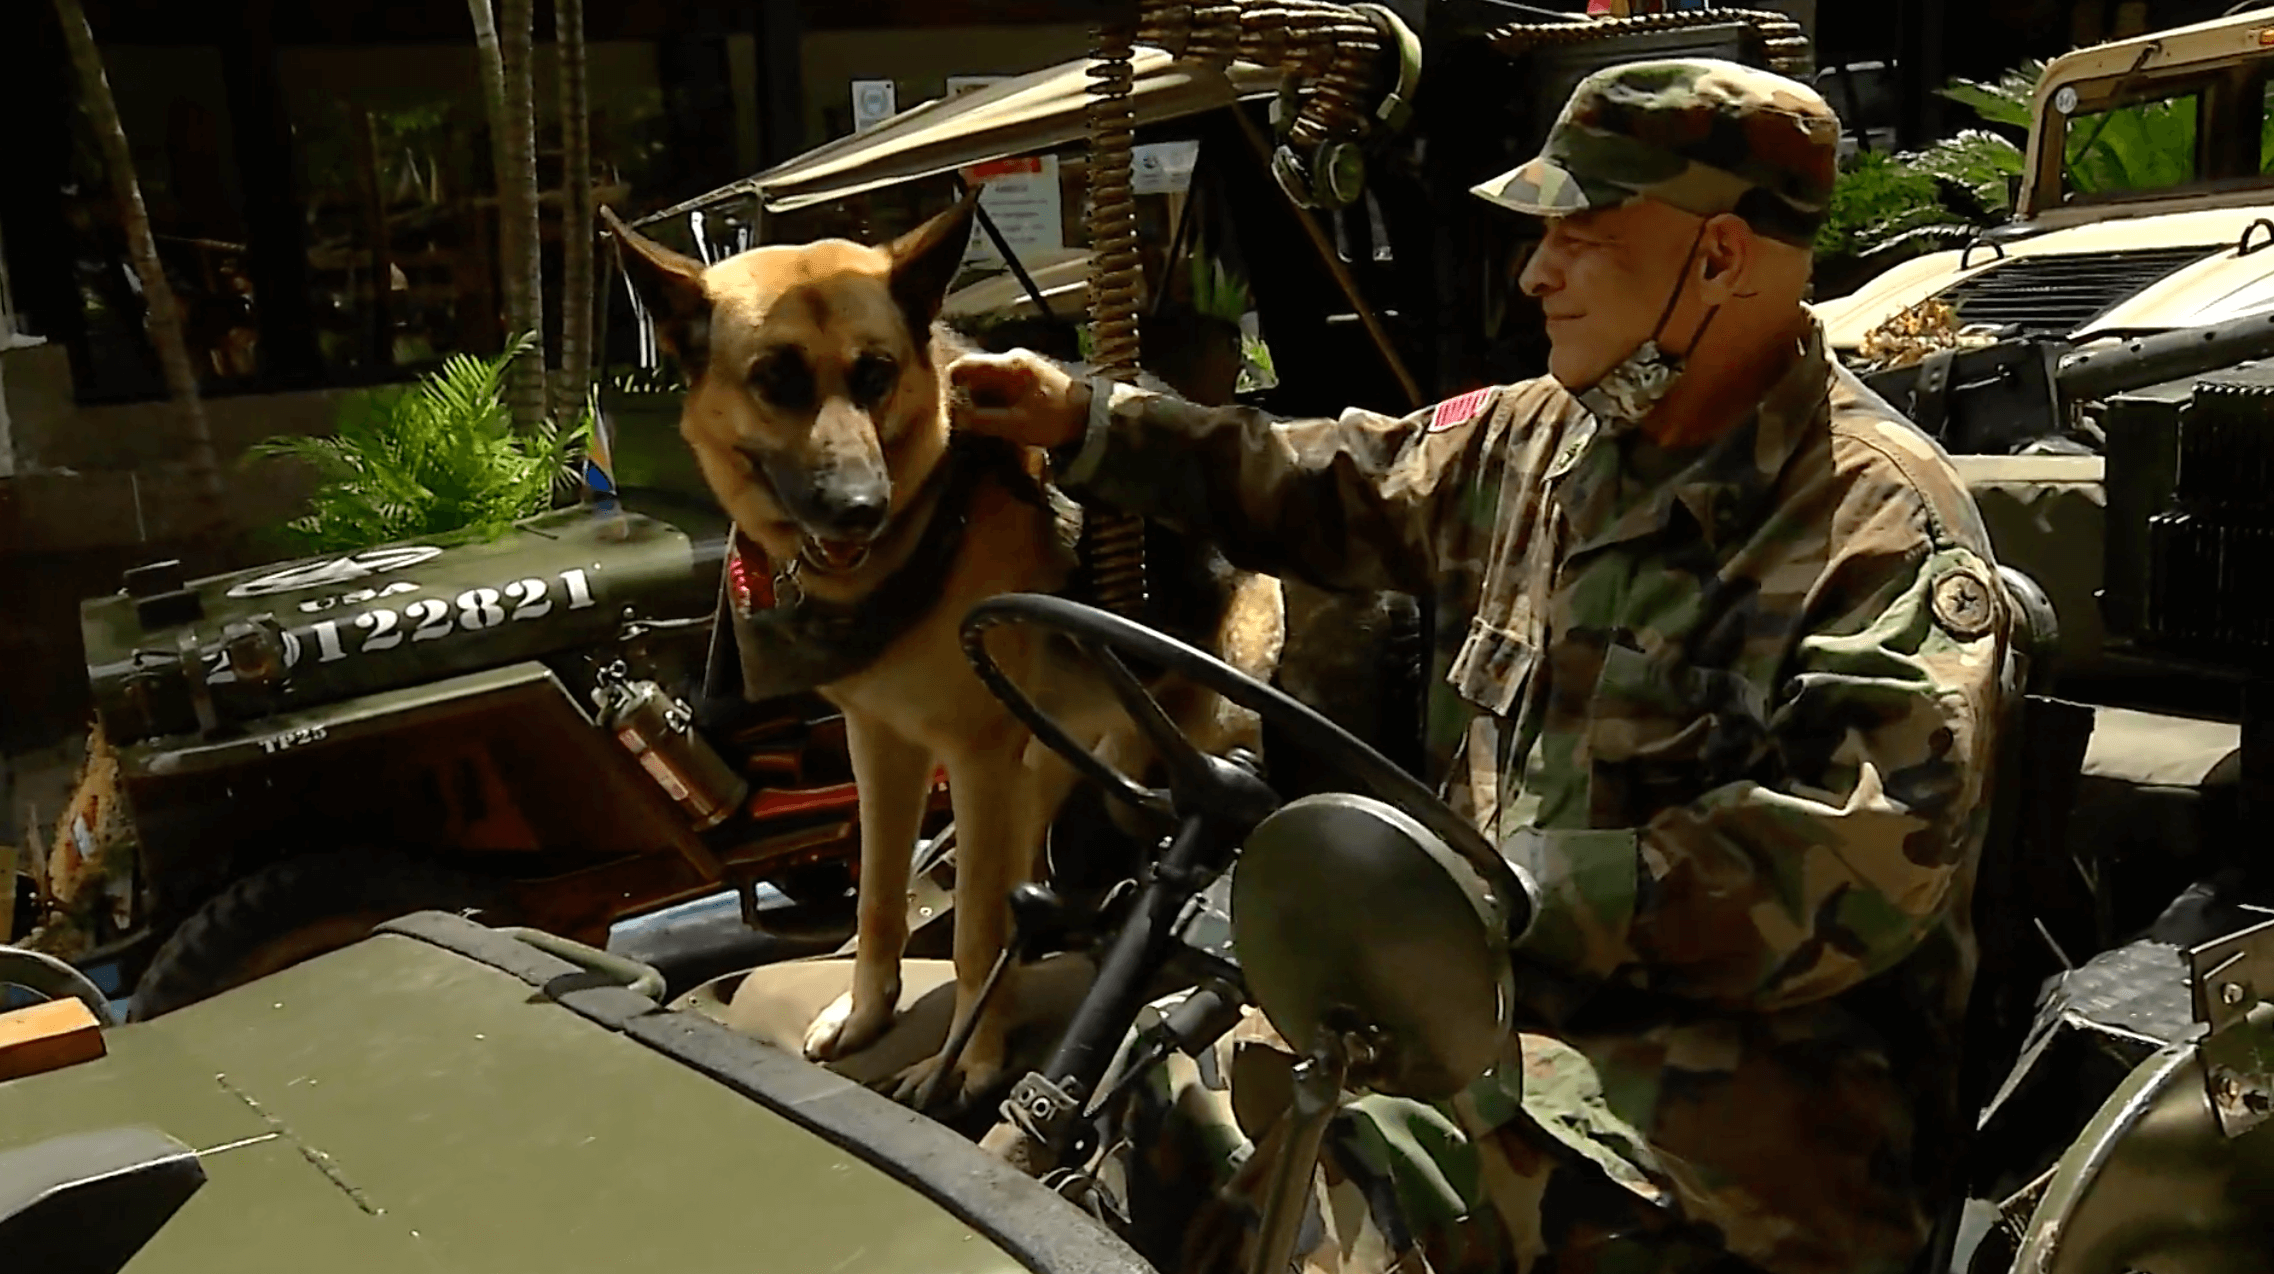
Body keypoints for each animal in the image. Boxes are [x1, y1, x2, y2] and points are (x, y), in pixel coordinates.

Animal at [600, 196, 1282, 1105]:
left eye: (876, 374)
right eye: (775, 377)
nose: (861, 507)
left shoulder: (974, 756)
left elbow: (974, 930)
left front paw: (972, 1059)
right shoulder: (882, 745)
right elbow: (879, 899)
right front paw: (867, 1016)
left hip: (1188, 733)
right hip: (1048, 763)